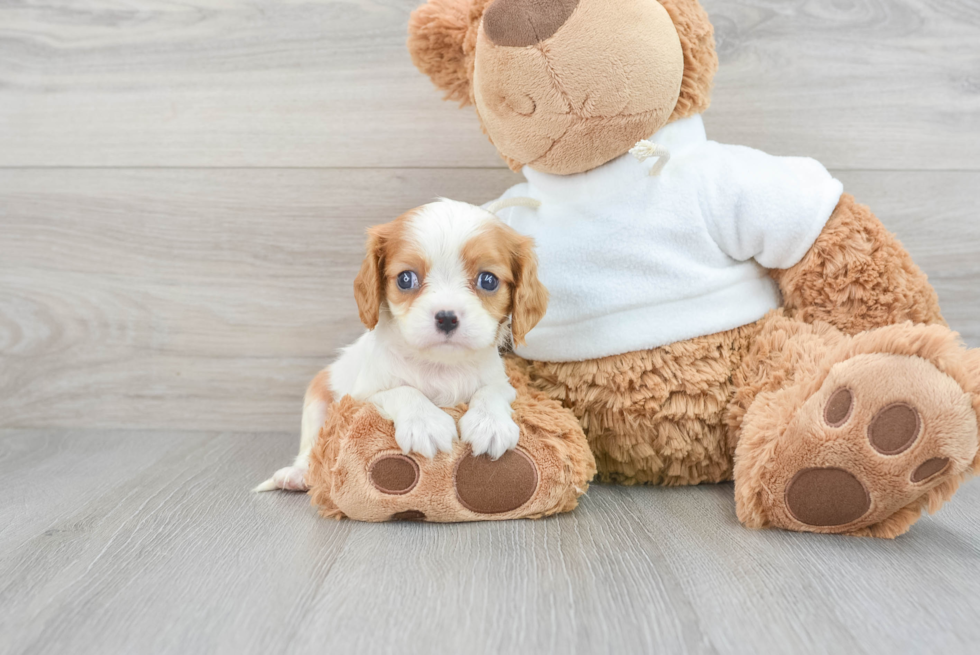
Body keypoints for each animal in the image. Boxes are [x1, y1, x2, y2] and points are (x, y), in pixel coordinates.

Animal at [256, 199, 548, 492]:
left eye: (488, 280)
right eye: (406, 279)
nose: (446, 317)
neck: (441, 366)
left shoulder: (502, 382)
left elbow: (491, 391)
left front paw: (490, 424)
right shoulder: (361, 397)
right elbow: (403, 391)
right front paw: (425, 424)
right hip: (317, 395)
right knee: (311, 446)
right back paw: (298, 473)